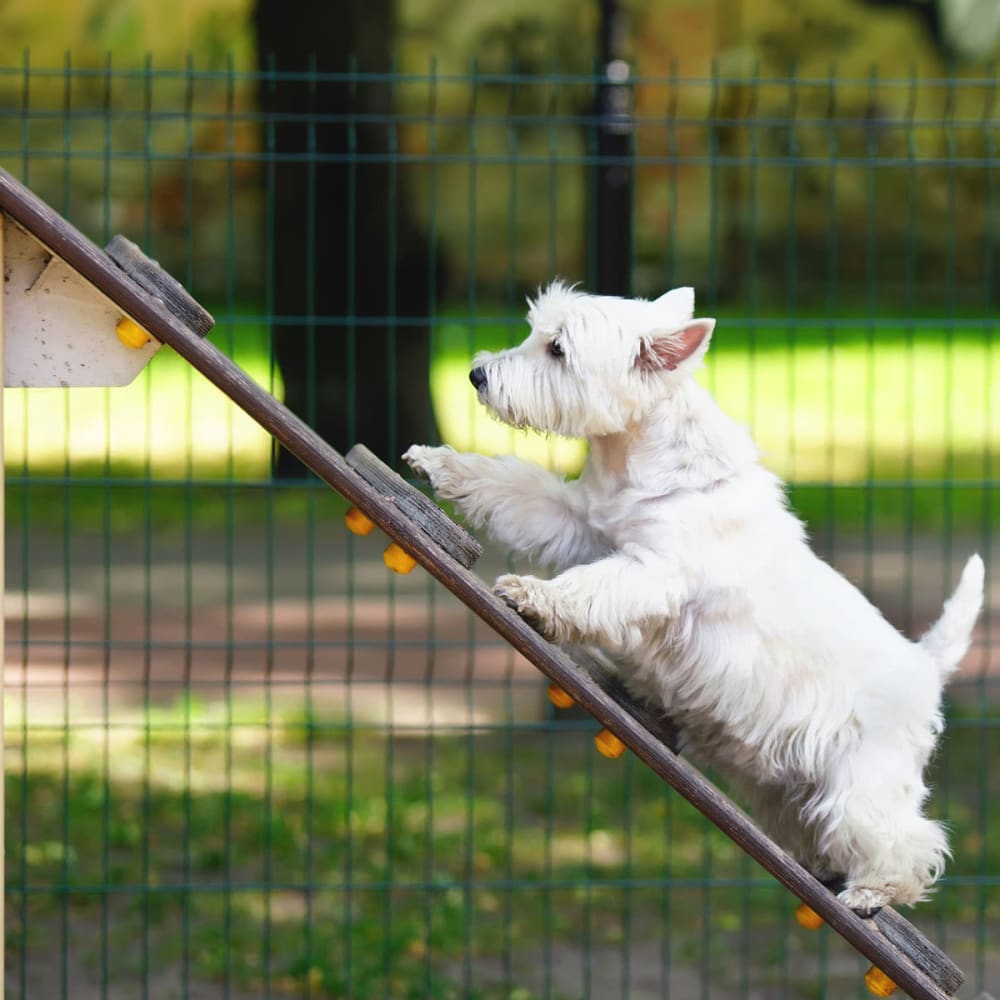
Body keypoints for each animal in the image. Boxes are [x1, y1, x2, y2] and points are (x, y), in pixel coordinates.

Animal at [404, 282, 984, 916]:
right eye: (537, 333)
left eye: (557, 349)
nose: (476, 374)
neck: (639, 458)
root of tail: (926, 665)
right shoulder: (578, 520)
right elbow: (514, 487)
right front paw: (438, 463)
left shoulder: (652, 572)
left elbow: (591, 587)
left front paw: (532, 594)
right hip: (788, 786)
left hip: (863, 780)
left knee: (909, 840)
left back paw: (871, 892)